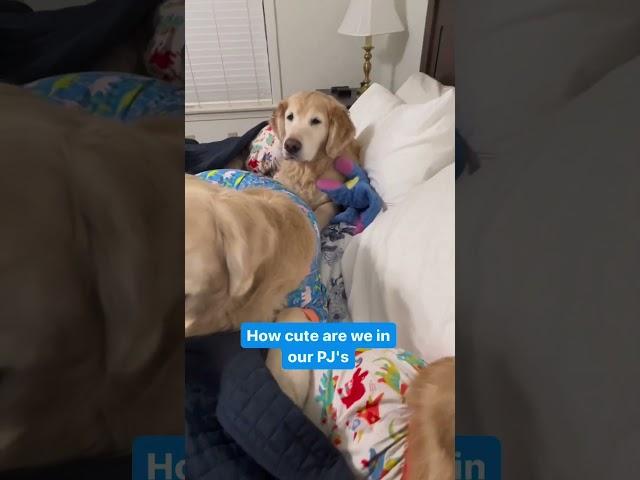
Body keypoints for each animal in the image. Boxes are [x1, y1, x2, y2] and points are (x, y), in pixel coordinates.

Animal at [268, 92, 360, 231]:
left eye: (316, 121)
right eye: (290, 117)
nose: (290, 145)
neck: (305, 170)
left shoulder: (332, 202)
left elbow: (322, 210)